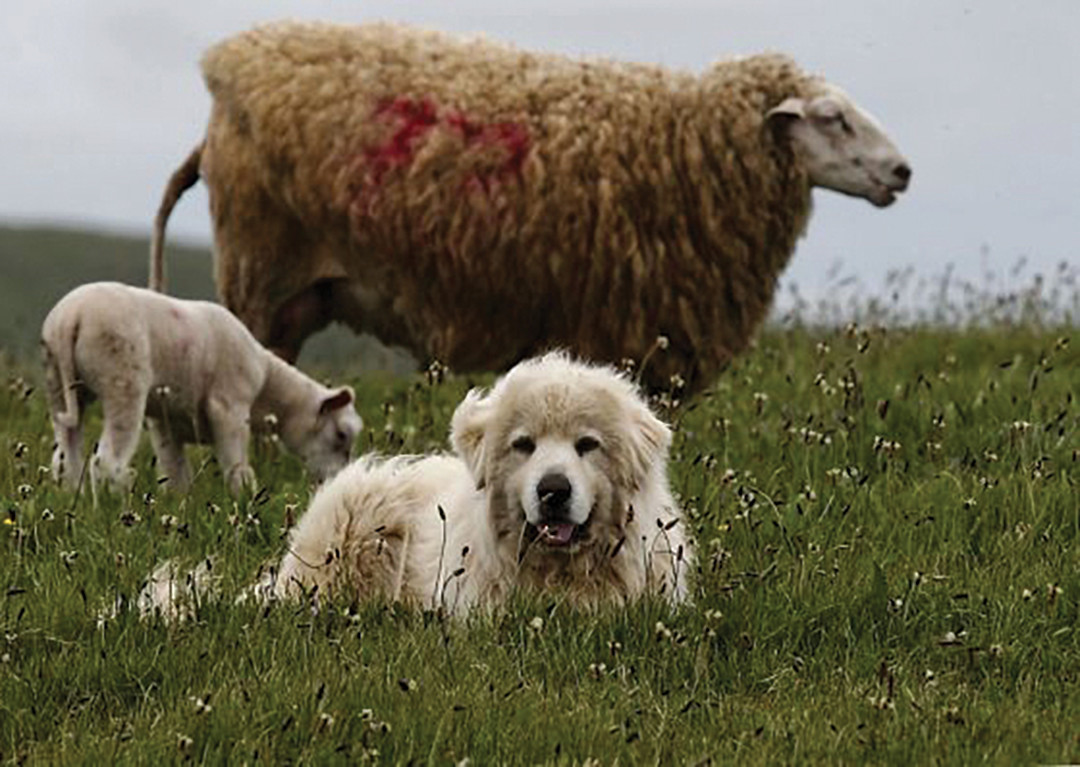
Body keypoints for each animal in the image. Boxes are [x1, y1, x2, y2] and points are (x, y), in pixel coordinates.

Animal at [42, 280, 362, 492]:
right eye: (341, 436)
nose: (336, 482)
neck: (267, 389)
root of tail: (70, 318)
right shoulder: (229, 407)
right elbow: (237, 470)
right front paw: (244, 502)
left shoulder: (166, 423)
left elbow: (176, 474)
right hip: (122, 381)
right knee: (106, 462)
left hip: (58, 383)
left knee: (65, 458)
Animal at [152, 21, 911, 393]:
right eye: (834, 119)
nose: (902, 172)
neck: (681, 142)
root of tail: (222, 75)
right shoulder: (623, 325)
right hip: (258, 268)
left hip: (295, 296)